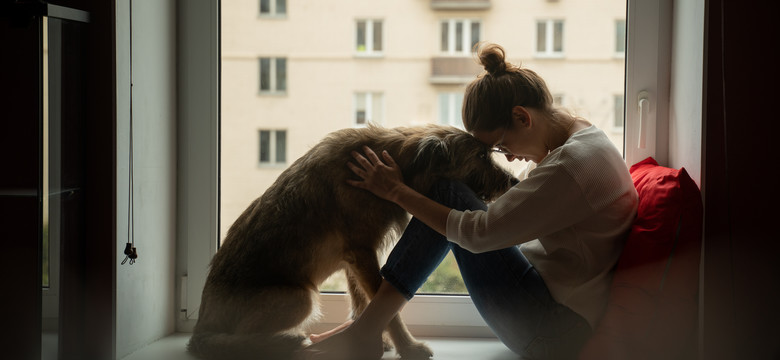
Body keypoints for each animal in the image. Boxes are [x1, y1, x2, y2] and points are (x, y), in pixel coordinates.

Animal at [187, 124, 516, 360]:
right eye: (481, 156)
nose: (514, 183)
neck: (396, 159)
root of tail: (201, 325)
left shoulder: (354, 259)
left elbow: (362, 301)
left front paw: (374, 342)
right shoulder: (362, 252)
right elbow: (389, 311)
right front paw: (406, 347)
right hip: (300, 299)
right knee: (240, 340)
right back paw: (286, 341)